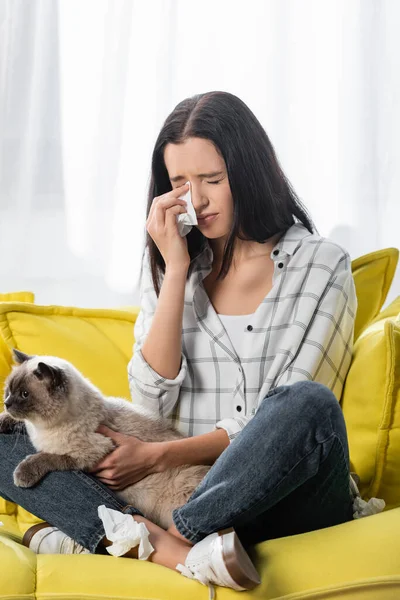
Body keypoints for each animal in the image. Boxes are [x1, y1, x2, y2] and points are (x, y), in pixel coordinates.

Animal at [0, 350, 211, 528]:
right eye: (8, 391)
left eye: (24, 394)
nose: (6, 403)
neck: (40, 428)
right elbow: (17, 422)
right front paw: (2, 421)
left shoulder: (88, 455)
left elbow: (46, 457)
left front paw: (22, 474)